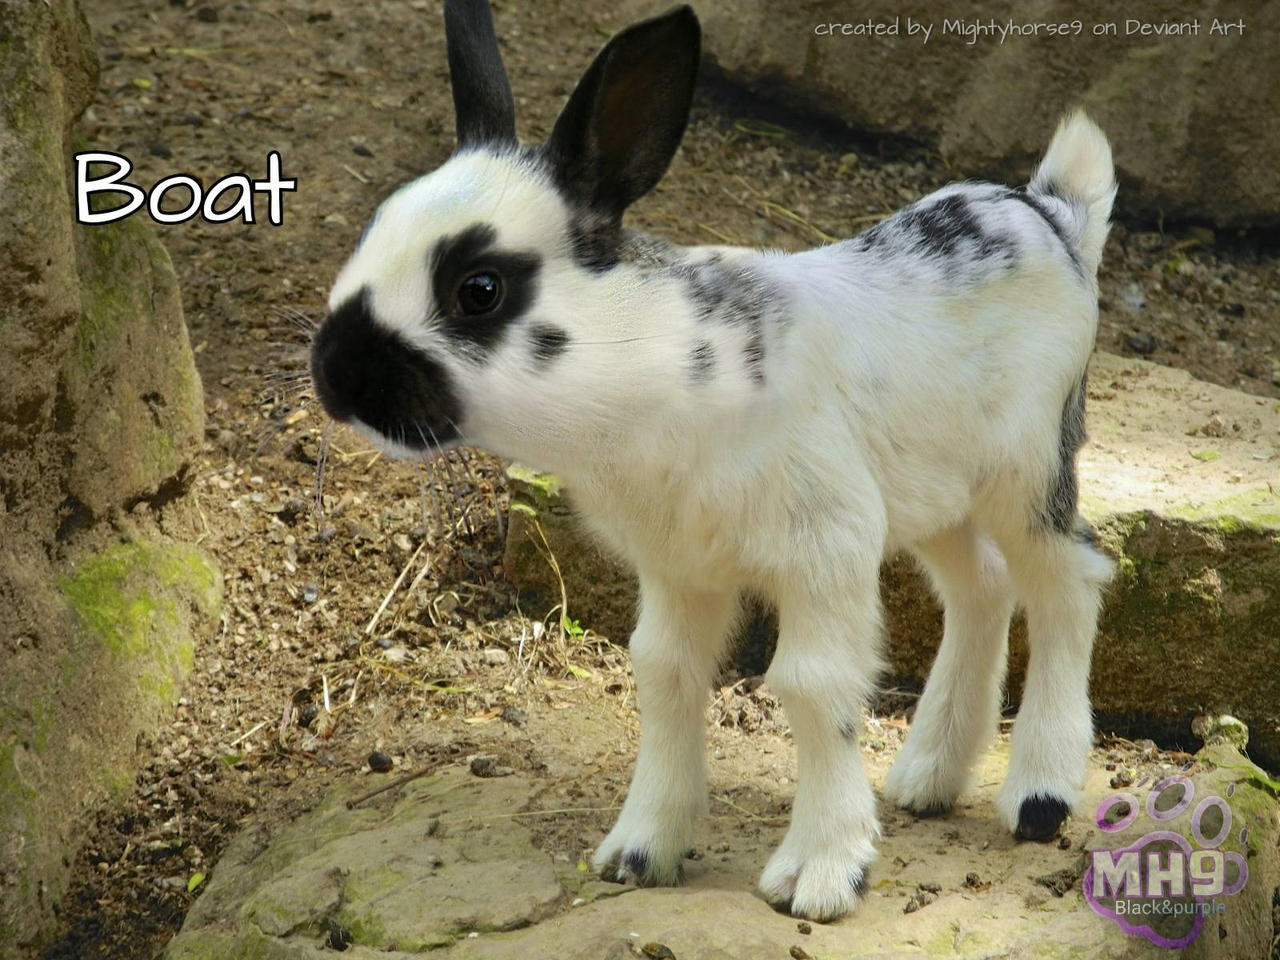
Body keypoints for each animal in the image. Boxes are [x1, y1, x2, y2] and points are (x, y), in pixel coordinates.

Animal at [310, 0, 1116, 922]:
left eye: (479, 290)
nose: (335, 374)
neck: (652, 363)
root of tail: (1053, 218)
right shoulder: (679, 571)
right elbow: (664, 675)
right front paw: (638, 853)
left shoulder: (825, 552)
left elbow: (814, 689)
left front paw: (822, 876)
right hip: (934, 497)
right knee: (981, 589)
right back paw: (925, 779)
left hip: (1028, 477)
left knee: (1068, 582)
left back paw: (1039, 797)